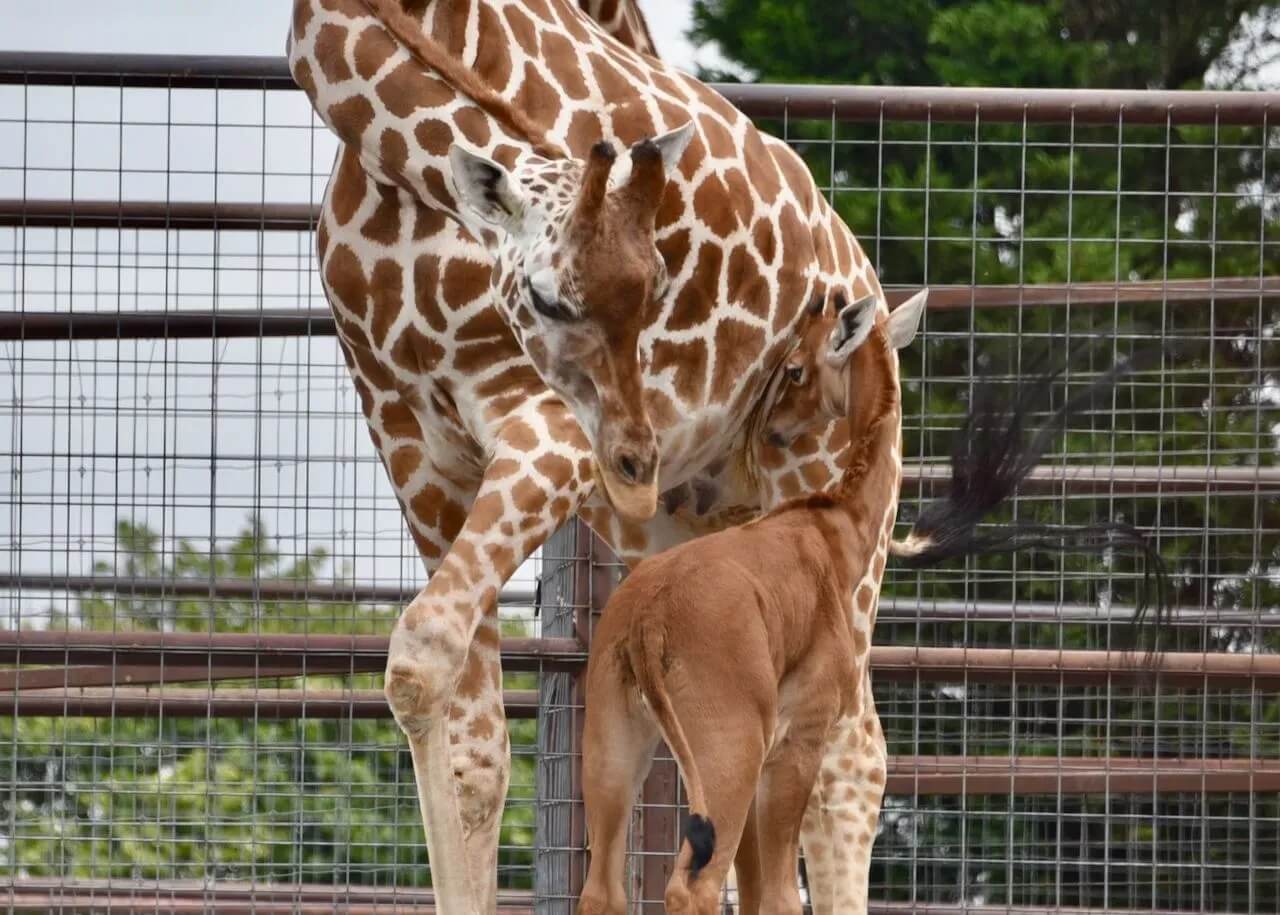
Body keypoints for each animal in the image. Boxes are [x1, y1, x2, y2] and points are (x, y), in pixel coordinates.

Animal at [286, 0, 895, 910]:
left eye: (657, 290)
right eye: (546, 297)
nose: (637, 463)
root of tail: (869, 277)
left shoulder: (545, 427)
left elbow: (421, 652)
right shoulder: (413, 445)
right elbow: (469, 744)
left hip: (835, 510)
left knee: (851, 756)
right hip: (690, 536)